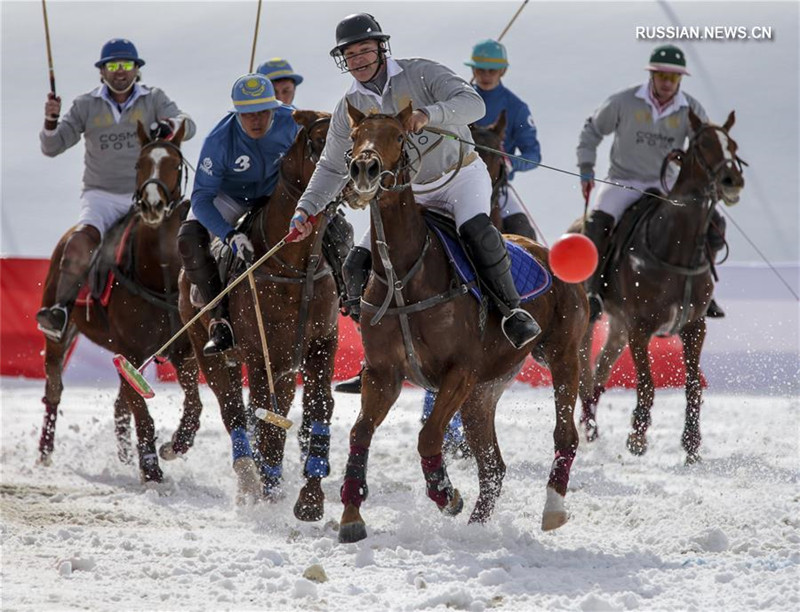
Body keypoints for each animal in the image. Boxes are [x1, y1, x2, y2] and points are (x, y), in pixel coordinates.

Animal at [39, 120, 205, 482]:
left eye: (174, 163)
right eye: (139, 163)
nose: (153, 204)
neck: (157, 274)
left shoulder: (182, 351)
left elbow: (193, 405)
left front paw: (174, 446)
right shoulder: (129, 350)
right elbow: (141, 411)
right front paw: (152, 469)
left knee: (120, 403)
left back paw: (126, 456)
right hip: (62, 328)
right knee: (54, 387)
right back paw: (45, 453)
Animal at [180, 110, 340, 512]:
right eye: (319, 142)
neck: (295, 267)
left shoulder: (319, 345)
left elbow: (319, 406)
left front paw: (310, 498)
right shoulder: (259, 352)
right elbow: (264, 418)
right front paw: (268, 491)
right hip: (210, 351)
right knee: (234, 411)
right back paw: (250, 480)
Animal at [338, 103, 588, 544]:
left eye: (399, 136)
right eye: (353, 137)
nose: (364, 169)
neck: (404, 275)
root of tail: (545, 252)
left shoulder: (460, 372)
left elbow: (428, 436)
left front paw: (445, 492)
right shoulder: (383, 374)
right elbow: (360, 433)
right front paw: (351, 516)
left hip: (561, 356)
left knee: (564, 433)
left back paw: (553, 508)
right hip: (483, 393)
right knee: (493, 467)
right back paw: (476, 529)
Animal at [576, 111, 744, 464]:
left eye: (733, 146)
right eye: (704, 144)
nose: (732, 181)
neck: (676, 247)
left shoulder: (694, 326)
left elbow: (693, 385)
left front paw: (692, 444)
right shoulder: (641, 327)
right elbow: (647, 384)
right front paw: (637, 438)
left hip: (618, 327)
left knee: (599, 372)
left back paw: (592, 427)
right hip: (592, 319)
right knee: (585, 373)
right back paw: (588, 426)